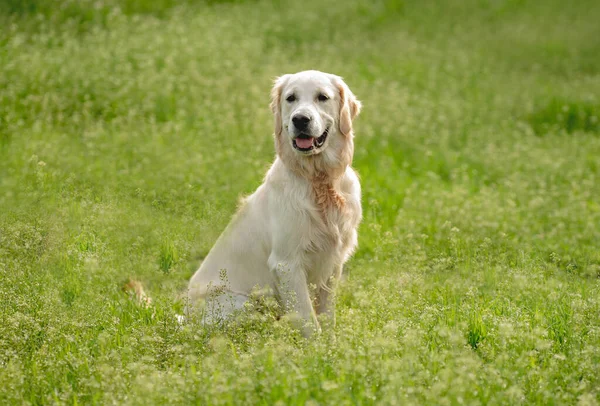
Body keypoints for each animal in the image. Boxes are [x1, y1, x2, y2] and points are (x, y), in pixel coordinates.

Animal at [189, 70, 360, 336]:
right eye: (291, 98)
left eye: (322, 97)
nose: (300, 119)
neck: (318, 180)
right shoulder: (287, 263)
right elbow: (309, 320)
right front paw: (317, 347)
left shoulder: (333, 263)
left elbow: (327, 316)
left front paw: (332, 344)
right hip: (244, 303)